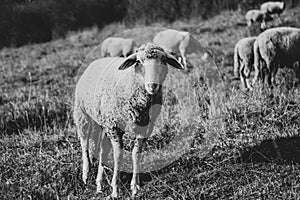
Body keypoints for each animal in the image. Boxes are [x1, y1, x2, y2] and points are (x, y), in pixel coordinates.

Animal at [74, 42, 184, 198]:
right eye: (138, 61)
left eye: (163, 61)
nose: (152, 86)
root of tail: (95, 62)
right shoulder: (114, 126)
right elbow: (118, 155)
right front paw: (115, 189)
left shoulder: (145, 127)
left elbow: (136, 153)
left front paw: (135, 186)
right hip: (82, 114)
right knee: (84, 144)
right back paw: (86, 174)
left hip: (103, 122)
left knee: (102, 150)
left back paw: (99, 184)